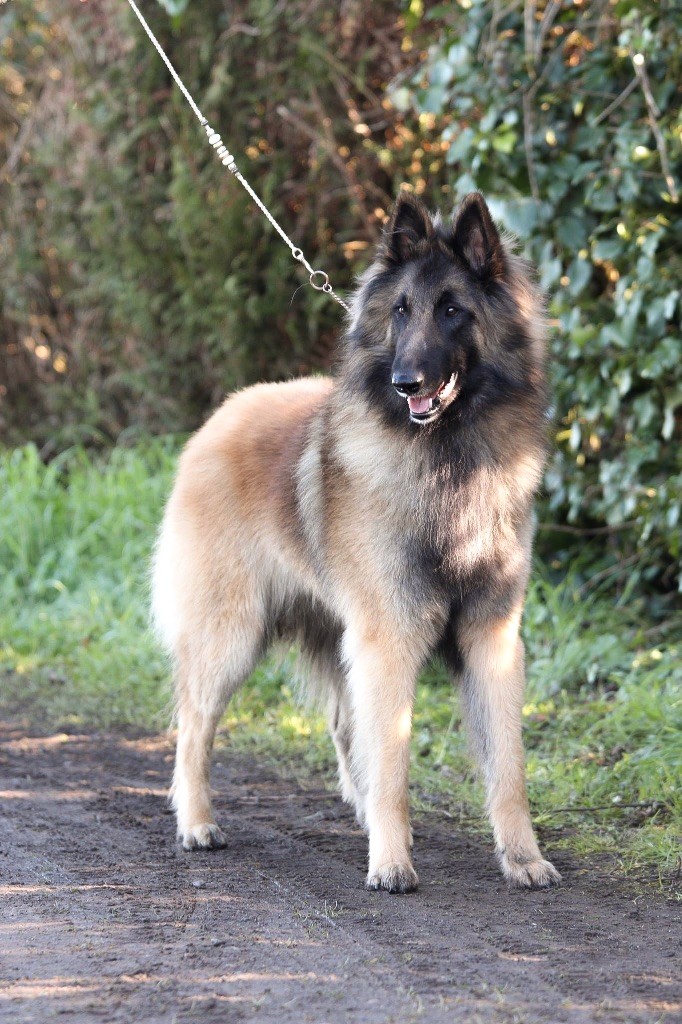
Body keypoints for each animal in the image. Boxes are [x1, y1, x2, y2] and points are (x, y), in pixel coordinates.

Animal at [151, 190, 561, 888]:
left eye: (452, 309)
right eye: (400, 310)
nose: (405, 382)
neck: (449, 459)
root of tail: (219, 418)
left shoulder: (491, 637)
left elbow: (508, 766)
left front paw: (523, 859)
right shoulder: (390, 636)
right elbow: (394, 763)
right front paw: (392, 864)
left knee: (347, 728)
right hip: (231, 636)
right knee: (195, 728)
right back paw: (197, 824)